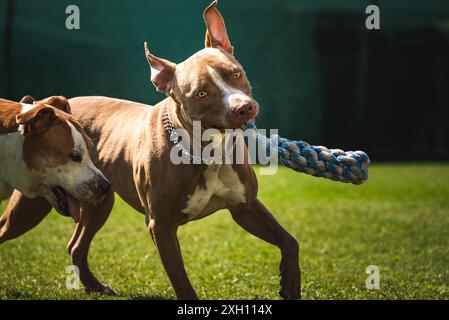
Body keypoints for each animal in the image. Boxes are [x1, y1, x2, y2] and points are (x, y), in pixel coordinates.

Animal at [1, 1, 300, 298]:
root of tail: (42, 105)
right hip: (32, 203)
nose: (244, 108)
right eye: (202, 93)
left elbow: (290, 241)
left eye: (236, 73)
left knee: (76, 245)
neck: (206, 151)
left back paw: (94, 286)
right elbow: (182, 282)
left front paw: (290, 284)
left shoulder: (246, 208)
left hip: (98, 197)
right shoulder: (161, 225)